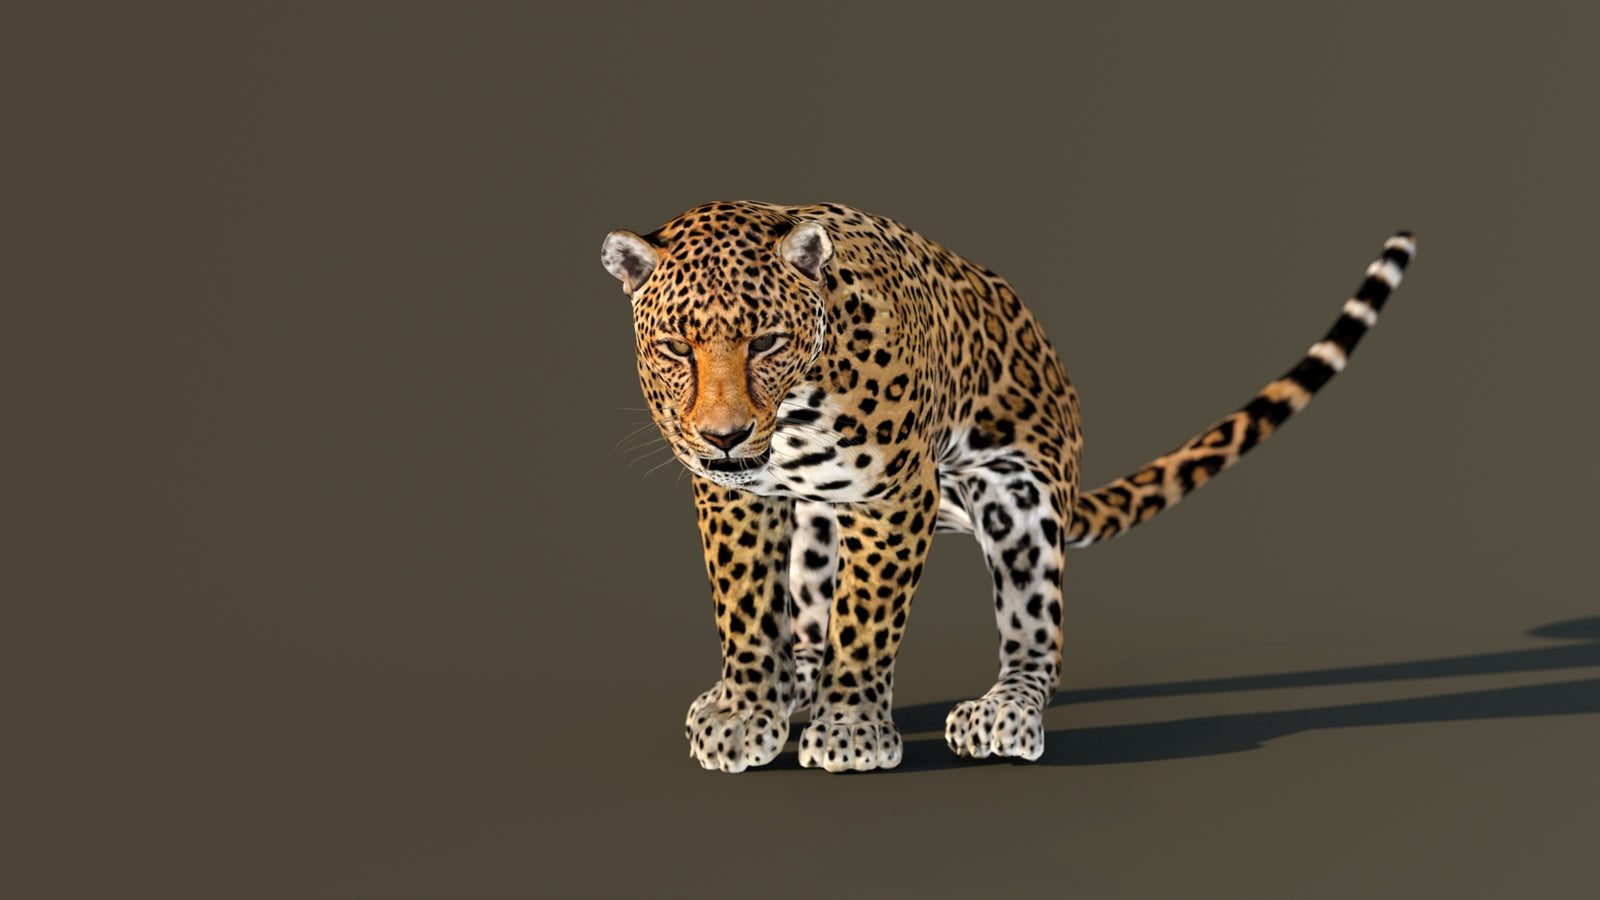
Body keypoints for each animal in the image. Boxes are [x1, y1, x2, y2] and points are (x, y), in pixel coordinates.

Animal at [600, 201, 1414, 773]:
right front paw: (744, 712)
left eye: (767, 341)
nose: (724, 435)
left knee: (1037, 637)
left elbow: (866, 622)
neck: (796, 410)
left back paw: (1003, 712)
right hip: (821, 520)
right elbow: (743, 606)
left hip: (1017, 498)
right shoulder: (734, 494)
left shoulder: (895, 495)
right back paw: (798, 675)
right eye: (676, 347)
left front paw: (851, 730)